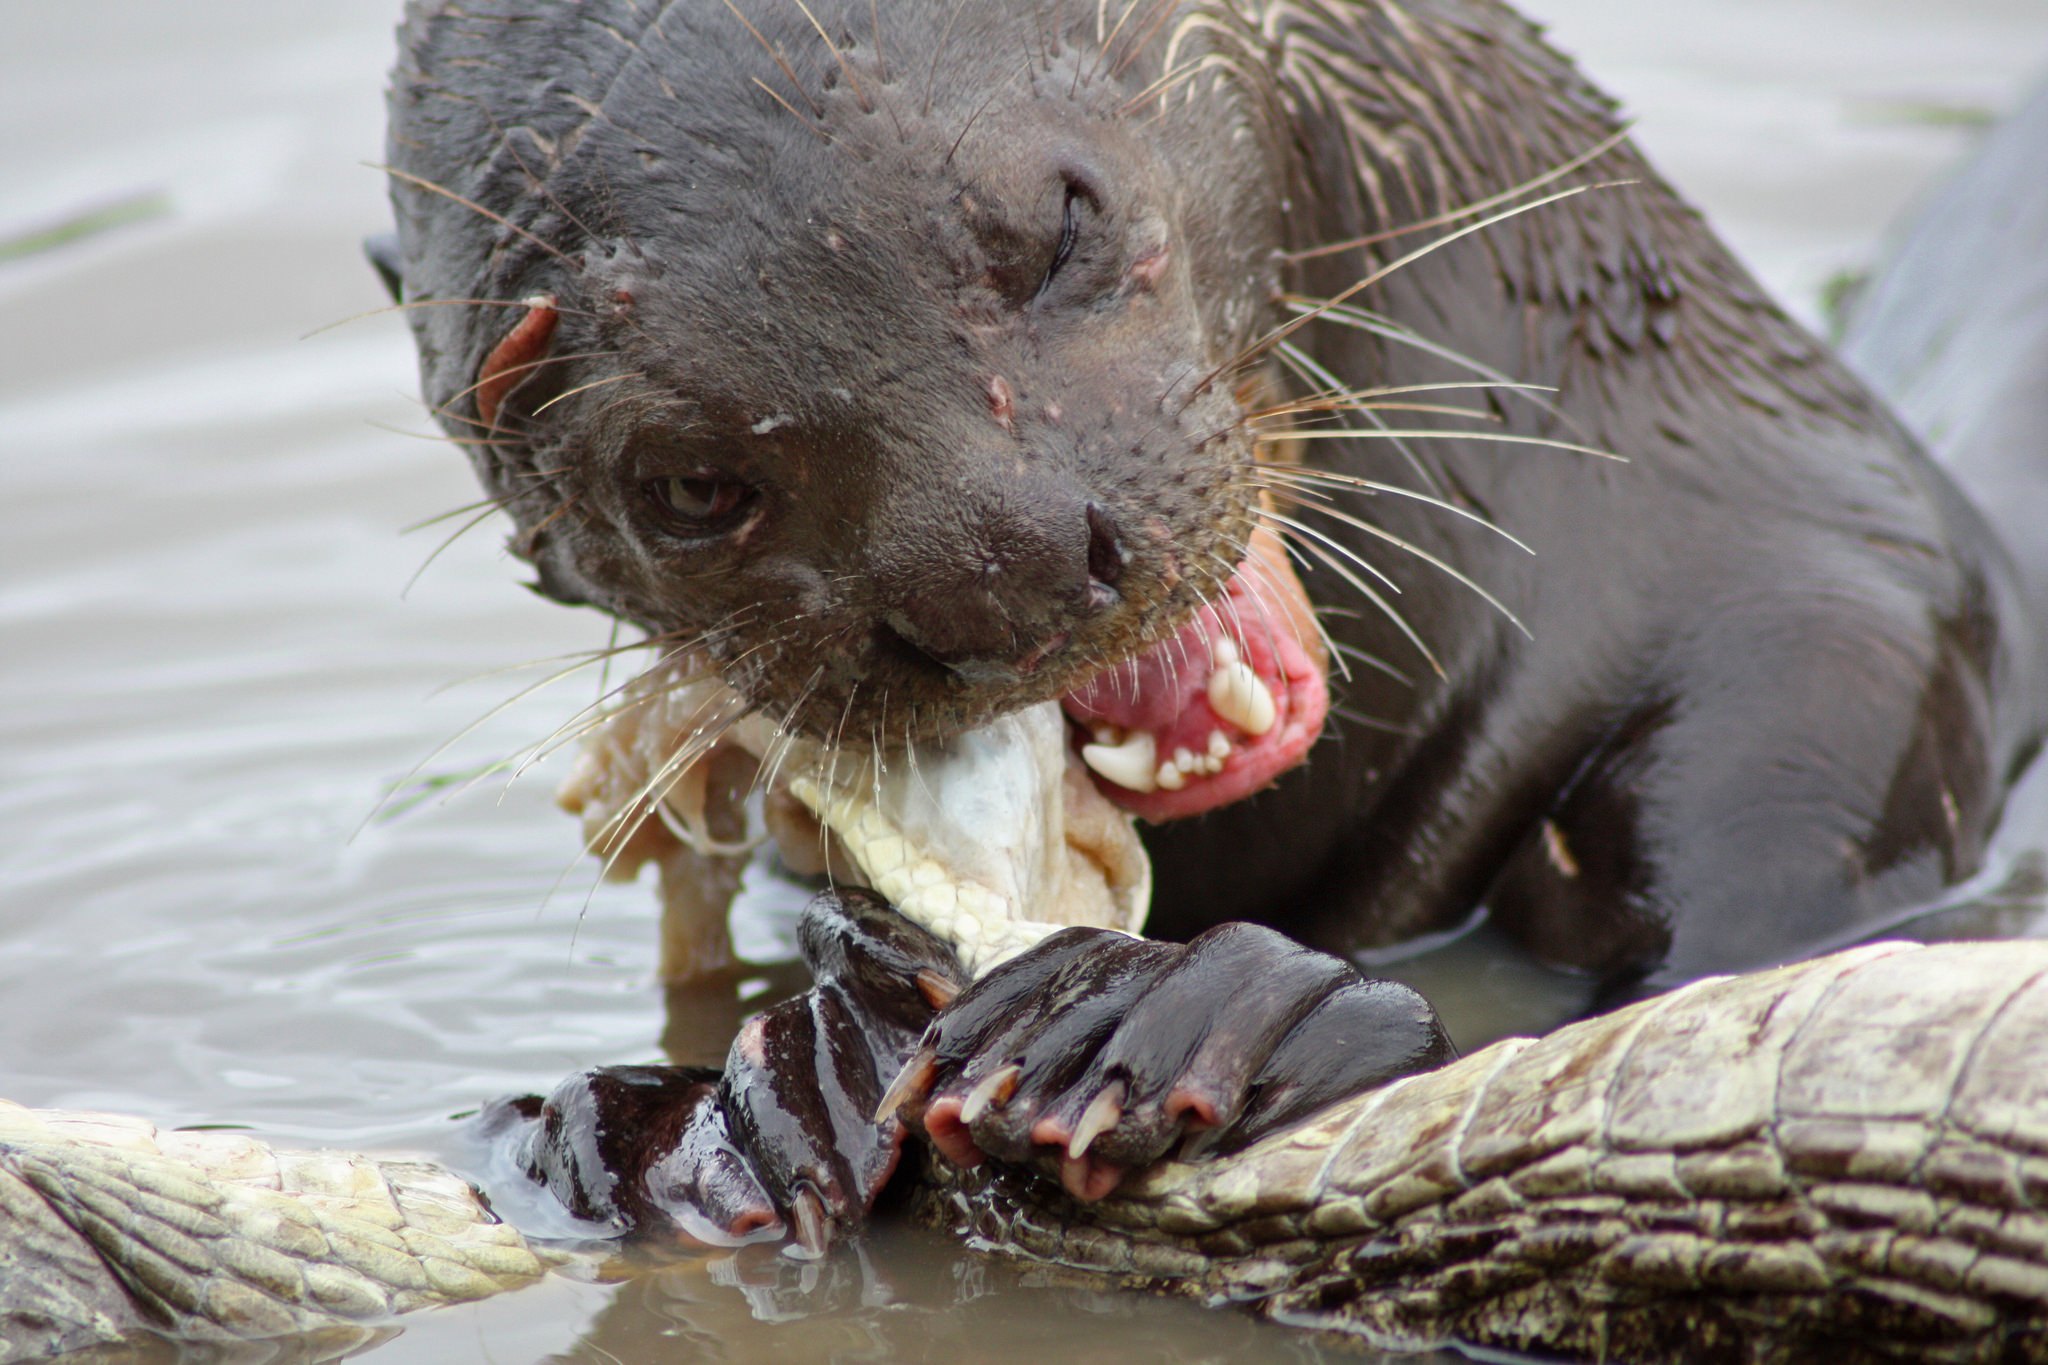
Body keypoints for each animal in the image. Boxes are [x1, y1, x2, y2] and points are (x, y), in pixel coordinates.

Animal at [385, 0, 2048, 1236]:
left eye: (1060, 219)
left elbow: (1688, 1032)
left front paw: (1204, 1013)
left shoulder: (1837, 672)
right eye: (687, 484)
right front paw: (723, 1091)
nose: (997, 564)